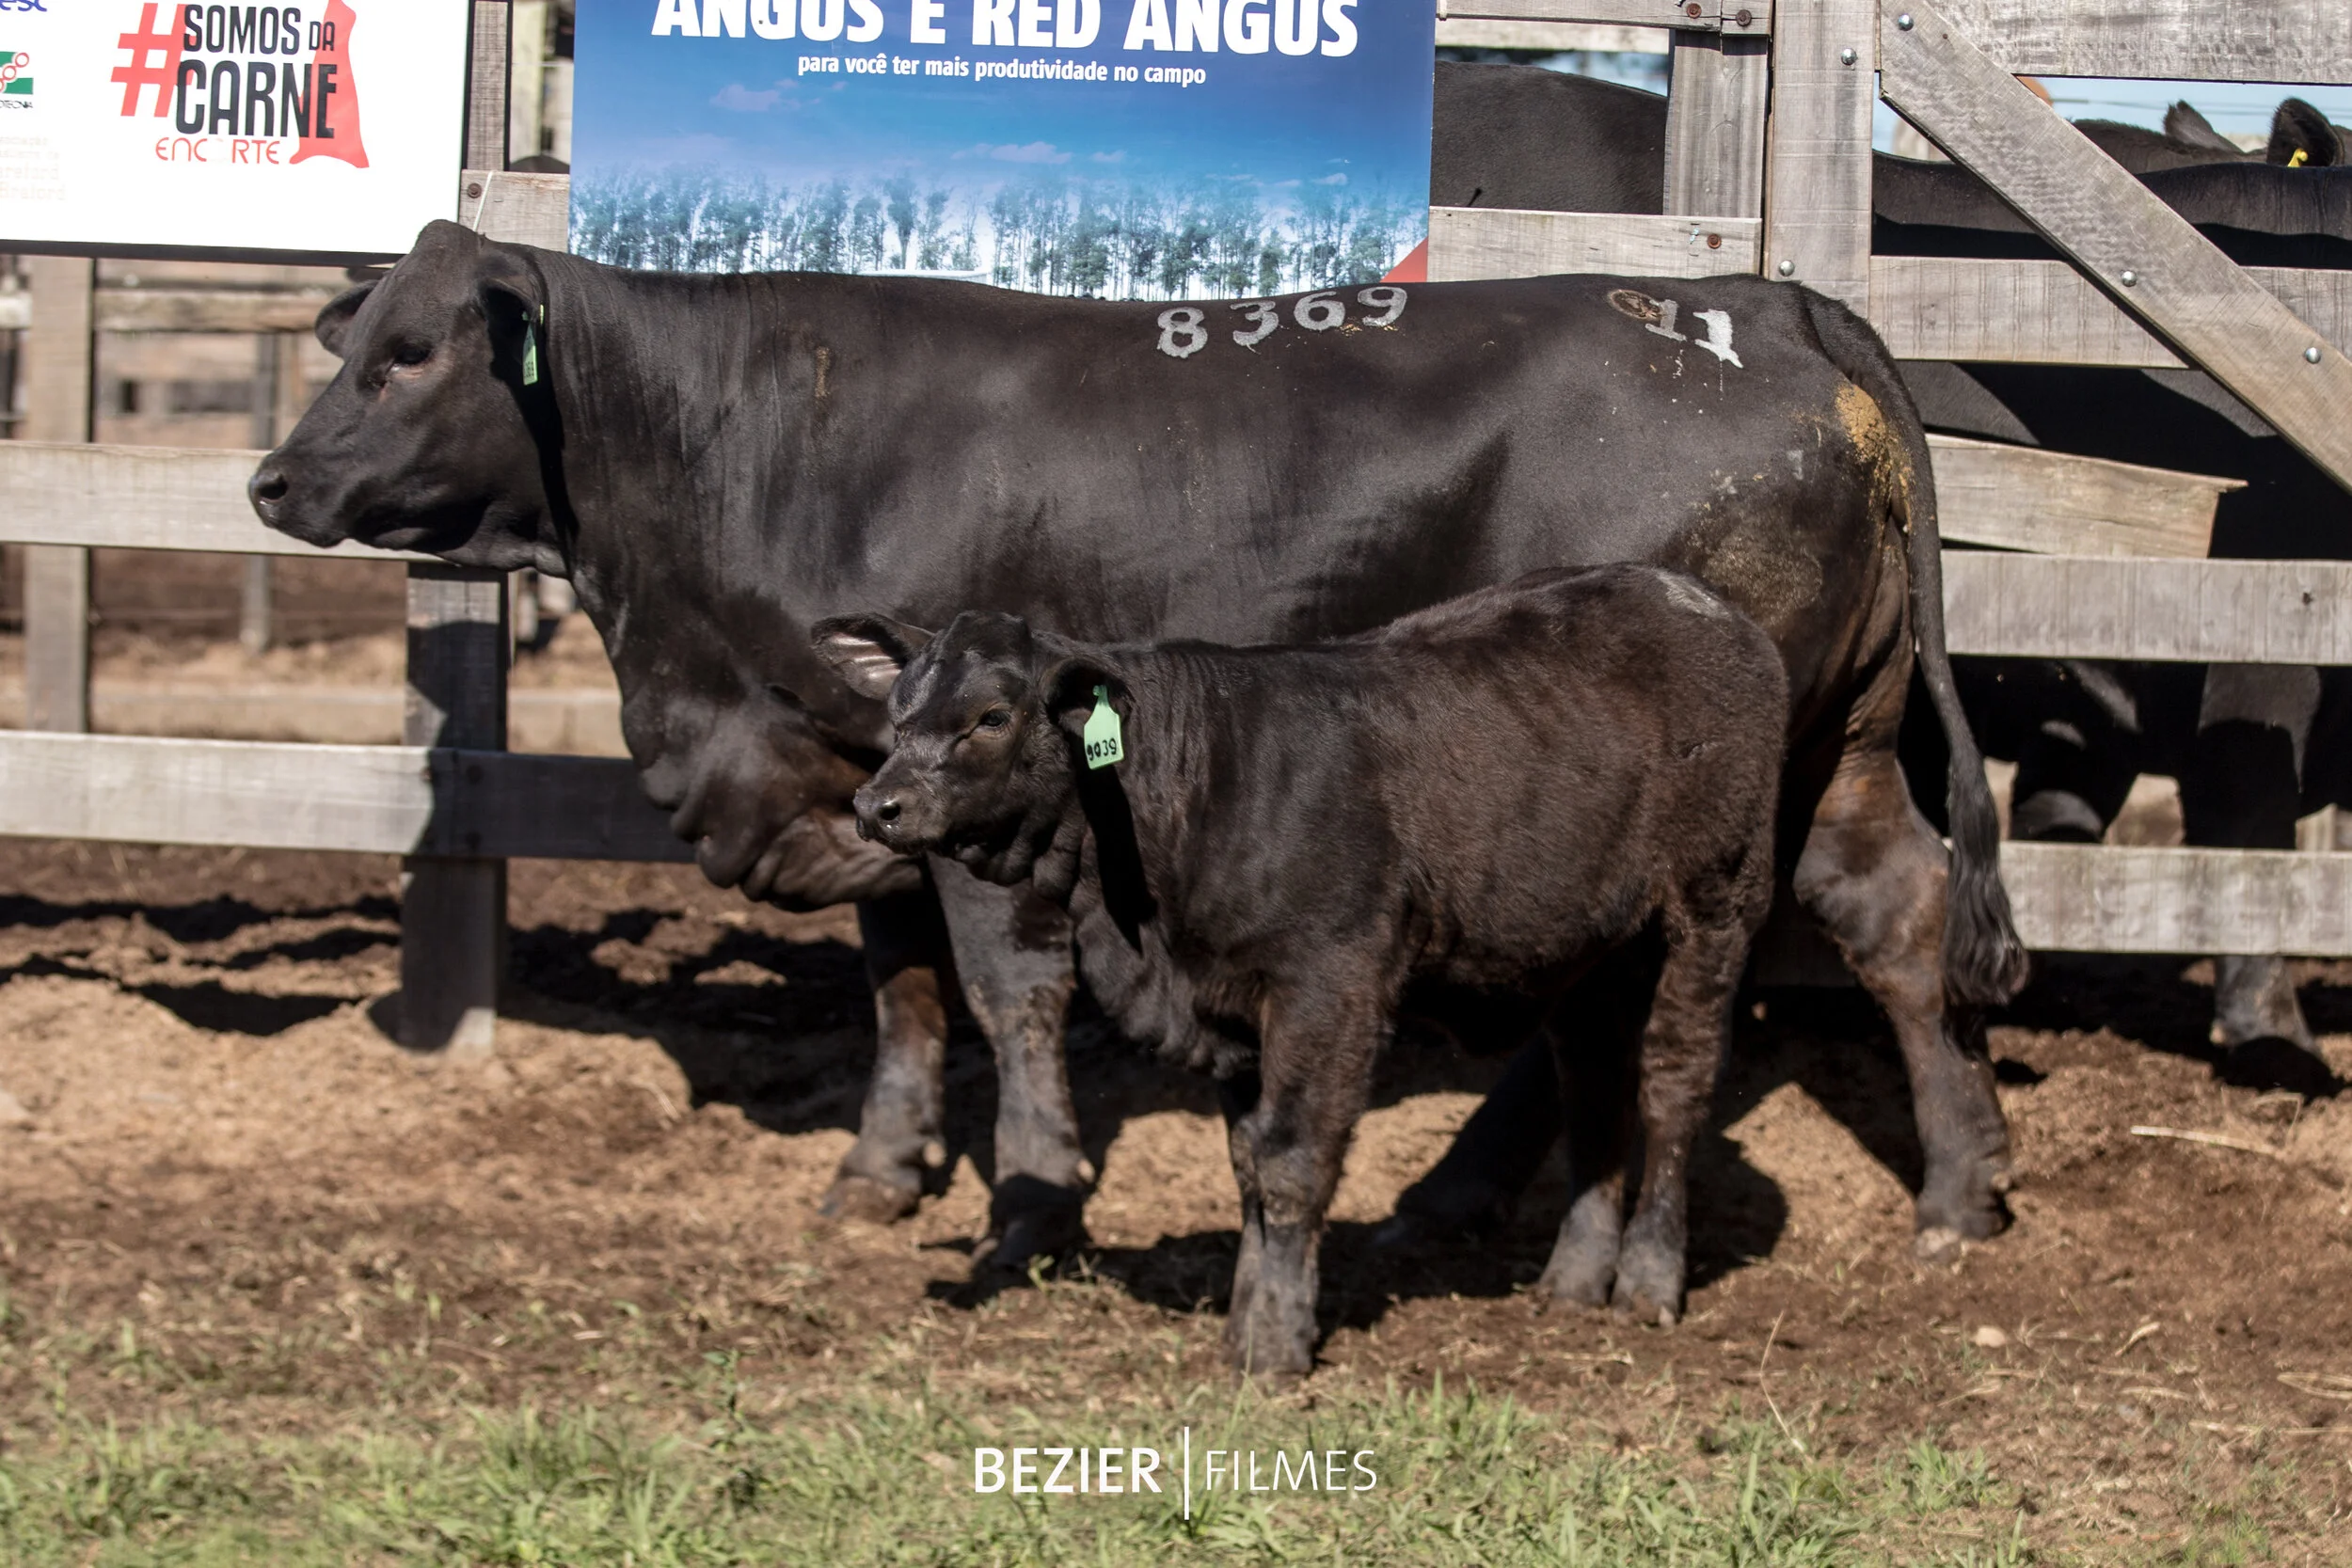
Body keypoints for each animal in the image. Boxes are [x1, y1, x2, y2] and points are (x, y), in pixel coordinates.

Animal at [248, 218, 2024, 1277]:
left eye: (411, 352)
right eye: (353, 336)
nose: (272, 479)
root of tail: (1756, 299)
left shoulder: (981, 780)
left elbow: (998, 984)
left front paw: (1034, 1187)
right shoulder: (869, 766)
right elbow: (901, 985)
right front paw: (884, 1168)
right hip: (1839, 737)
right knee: (1894, 910)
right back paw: (1958, 1187)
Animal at [813, 565, 1789, 1370]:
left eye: (991, 717)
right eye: (898, 714)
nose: (877, 803)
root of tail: (1698, 599)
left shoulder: (1331, 985)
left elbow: (1290, 1158)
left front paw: (1276, 1344)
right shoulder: (1228, 1007)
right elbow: (1248, 1161)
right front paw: (1248, 1318)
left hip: (1717, 897)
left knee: (1673, 1080)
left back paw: (1648, 1281)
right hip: (1585, 945)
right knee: (1591, 1082)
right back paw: (1575, 1277)